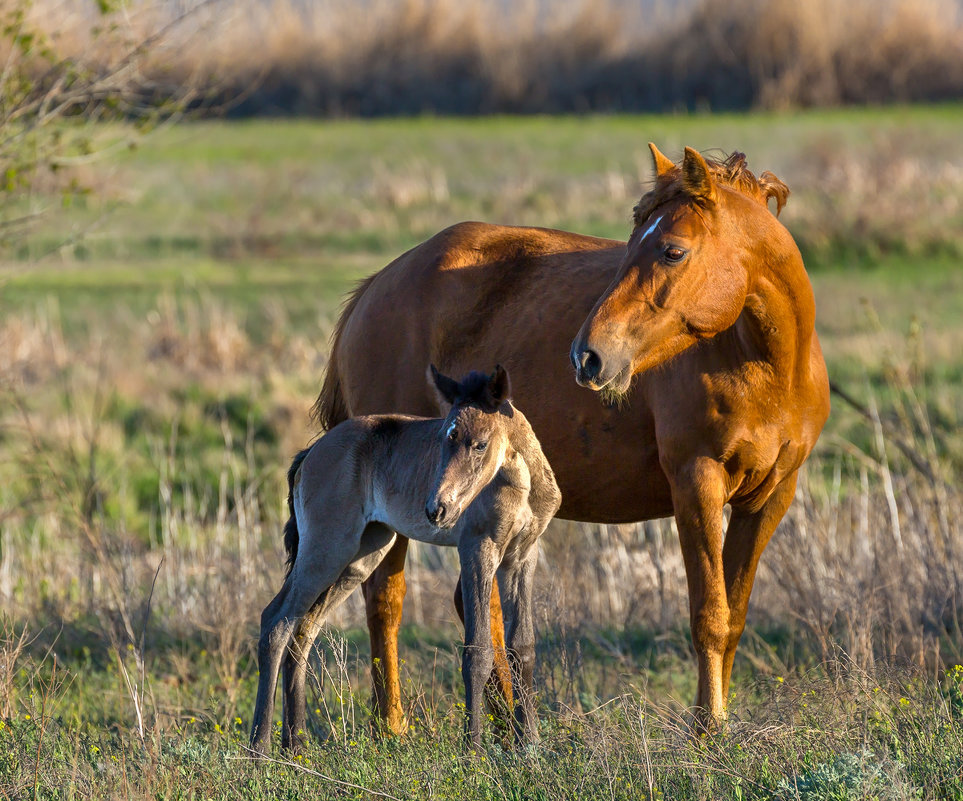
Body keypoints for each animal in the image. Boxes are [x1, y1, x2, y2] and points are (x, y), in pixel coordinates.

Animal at [308, 145, 828, 732]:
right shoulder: (696, 484)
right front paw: (708, 731)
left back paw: (505, 724)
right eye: (632, 243)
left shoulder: (770, 497)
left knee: (476, 605)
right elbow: (709, 616)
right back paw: (394, 727)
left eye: (672, 250)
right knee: (386, 599)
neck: (761, 365)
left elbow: (734, 617)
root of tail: (374, 289)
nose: (588, 355)